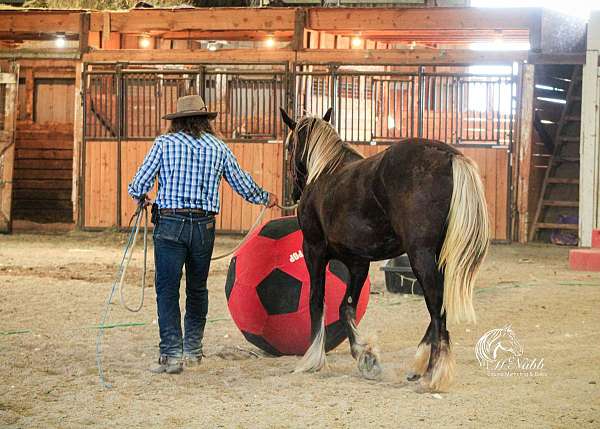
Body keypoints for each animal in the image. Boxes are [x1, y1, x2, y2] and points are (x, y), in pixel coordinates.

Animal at [278, 108, 490, 392]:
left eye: (289, 147)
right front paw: (366, 356)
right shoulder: (358, 263)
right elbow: (346, 307)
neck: (325, 173)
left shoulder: (314, 251)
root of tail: (448, 156)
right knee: (439, 305)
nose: (294, 192)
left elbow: (316, 302)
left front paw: (312, 359)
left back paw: (434, 372)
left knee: (436, 305)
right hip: (438, 258)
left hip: (420, 256)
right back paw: (420, 365)